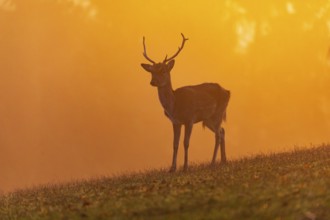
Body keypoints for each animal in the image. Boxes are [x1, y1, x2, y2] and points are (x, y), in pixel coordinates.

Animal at [141, 33, 231, 173]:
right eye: (152, 71)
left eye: (163, 70)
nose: (153, 82)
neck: (175, 105)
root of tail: (228, 91)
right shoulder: (176, 122)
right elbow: (175, 144)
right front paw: (172, 168)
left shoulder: (190, 119)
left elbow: (186, 143)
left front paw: (185, 167)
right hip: (208, 119)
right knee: (222, 131)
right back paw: (223, 161)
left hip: (218, 113)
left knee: (218, 135)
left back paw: (212, 162)